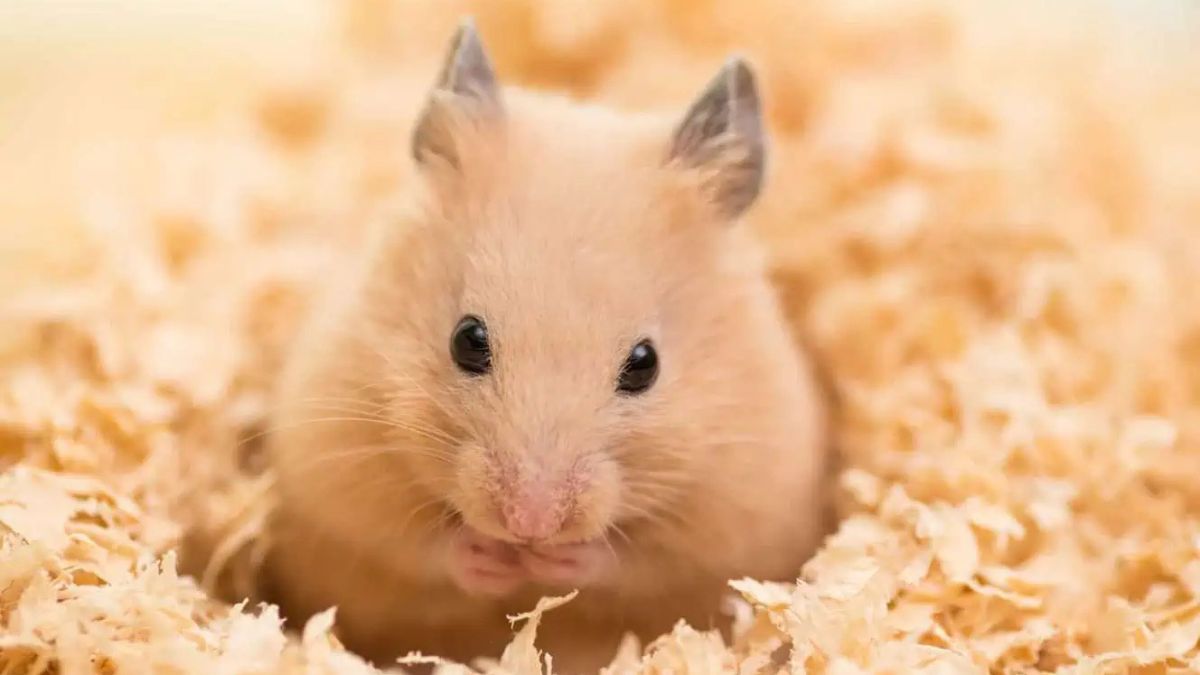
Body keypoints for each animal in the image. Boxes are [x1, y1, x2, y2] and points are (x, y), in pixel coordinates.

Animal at [263, 19, 829, 674]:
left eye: (645, 365)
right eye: (467, 339)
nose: (528, 525)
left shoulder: (739, 506)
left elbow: (637, 563)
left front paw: (554, 560)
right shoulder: (335, 460)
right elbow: (413, 542)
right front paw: (492, 557)